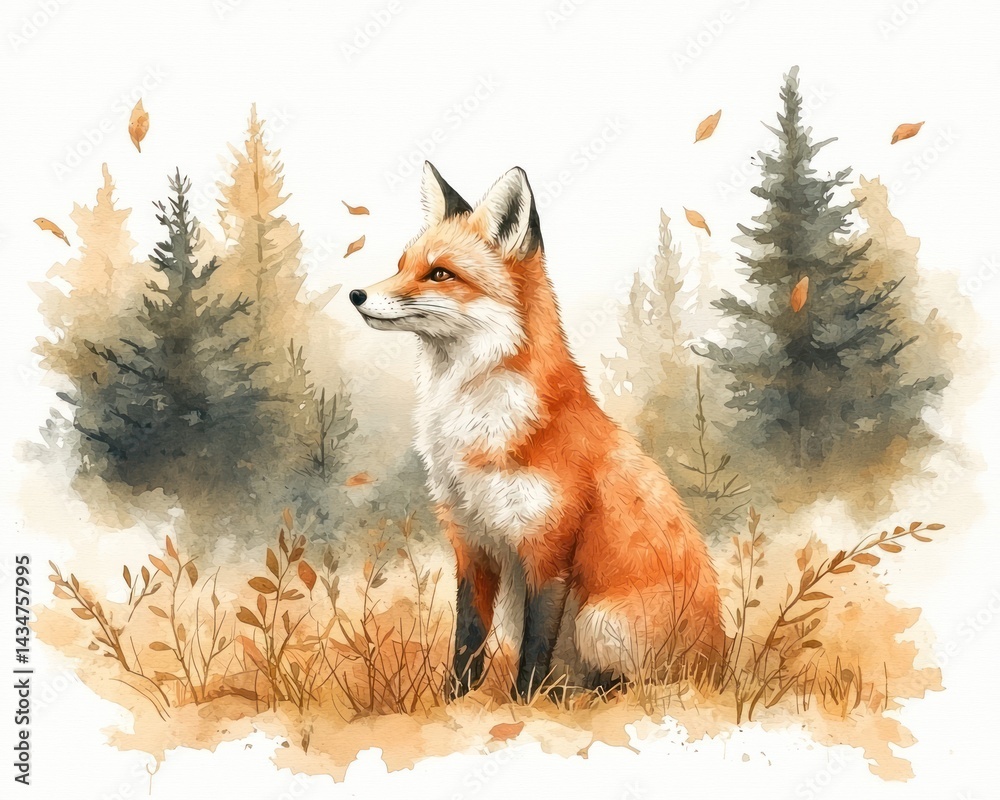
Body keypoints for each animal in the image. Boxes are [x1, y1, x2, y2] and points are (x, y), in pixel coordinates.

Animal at [350, 162, 724, 700]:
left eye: (439, 273)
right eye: (400, 265)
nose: (356, 294)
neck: (472, 424)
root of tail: (724, 663)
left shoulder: (547, 548)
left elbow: (534, 647)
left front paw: (522, 706)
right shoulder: (473, 543)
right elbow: (467, 640)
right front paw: (454, 704)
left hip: (597, 620)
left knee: (634, 685)